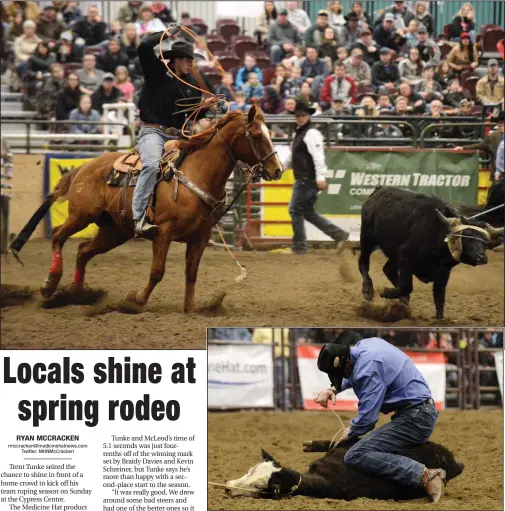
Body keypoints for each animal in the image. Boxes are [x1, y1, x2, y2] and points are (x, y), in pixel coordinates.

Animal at [13, 104, 284, 312]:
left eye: (270, 133)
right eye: (257, 136)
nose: (278, 169)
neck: (198, 173)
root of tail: (84, 167)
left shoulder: (200, 237)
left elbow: (191, 273)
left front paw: (191, 308)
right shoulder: (163, 232)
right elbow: (157, 271)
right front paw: (136, 301)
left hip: (114, 231)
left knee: (83, 251)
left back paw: (76, 293)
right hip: (82, 216)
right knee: (58, 235)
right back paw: (50, 283)